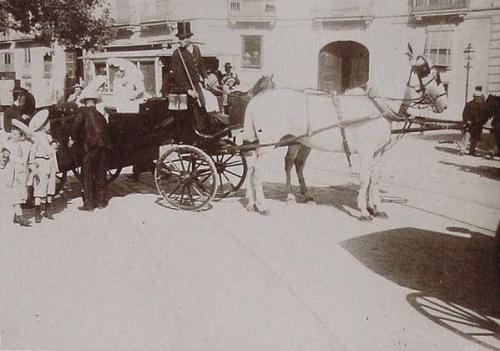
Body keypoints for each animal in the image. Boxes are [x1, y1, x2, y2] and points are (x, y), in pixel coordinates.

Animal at [242, 46, 450, 220]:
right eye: (425, 69)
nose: (444, 103)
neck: (376, 104)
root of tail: (257, 99)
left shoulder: (378, 152)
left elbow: (374, 179)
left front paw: (376, 208)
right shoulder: (366, 151)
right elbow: (364, 178)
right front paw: (364, 211)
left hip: (274, 143)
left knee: (255, 167)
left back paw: (254, 203)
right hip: (270, 144)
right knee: (259, 170)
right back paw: (263, 206)